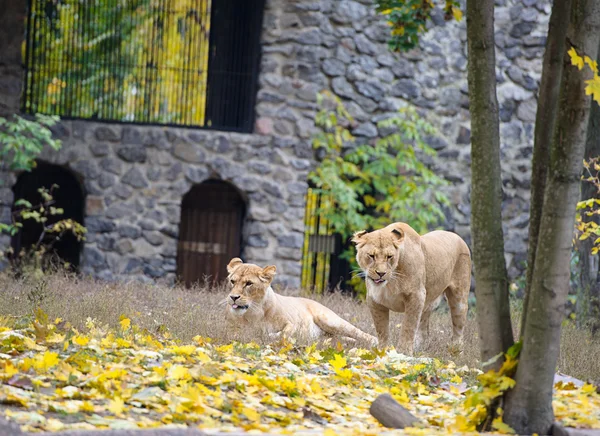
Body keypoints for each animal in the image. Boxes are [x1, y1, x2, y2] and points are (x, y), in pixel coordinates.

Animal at [223, 258, 378, 346]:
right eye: (232, 281)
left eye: (249, 283)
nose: (233, 297)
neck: (255, 312)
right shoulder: (231, 330)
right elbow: (240, 335)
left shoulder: (292, 323)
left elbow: (285, 333)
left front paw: (270, 336)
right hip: (331, 335)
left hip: (330, 320)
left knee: (359, 333)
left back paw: (375, 343)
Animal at [352, 221, 474, 354]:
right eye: (371, 256)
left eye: (389, 256)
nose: (381, 273)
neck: (390, 282)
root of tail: (457, 236)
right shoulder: (374, 300)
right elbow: (381, 329)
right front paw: (382, 351)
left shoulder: (416, 296)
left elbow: (408, 326)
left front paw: (403, 353)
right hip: (428, 303)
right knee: (424, 329)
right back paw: (419, 349)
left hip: (459, 298)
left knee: (458, 326)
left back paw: (455, 350)